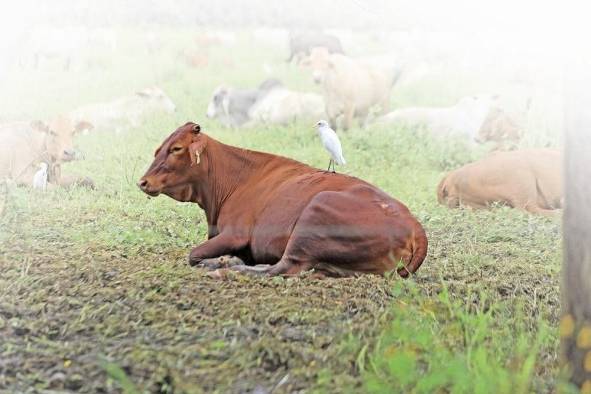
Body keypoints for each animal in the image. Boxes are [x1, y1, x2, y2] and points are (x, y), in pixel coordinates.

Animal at [138, 121, 426, 278]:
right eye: (158, 148)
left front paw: (223, 261)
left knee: (282, 268)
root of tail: (414, 226)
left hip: (315, 214)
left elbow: (193, 254)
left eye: (176, 148)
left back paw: (227, 269)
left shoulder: (235, 233)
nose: (143, 182)